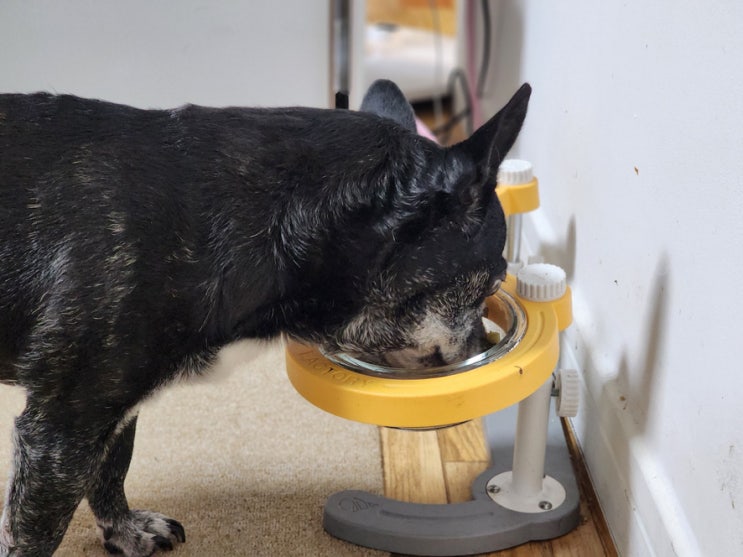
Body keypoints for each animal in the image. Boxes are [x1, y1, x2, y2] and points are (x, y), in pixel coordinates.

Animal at [0, 79, 530, 555]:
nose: (486, 345)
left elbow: (113, 465)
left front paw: (124, 529)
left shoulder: (109, 405)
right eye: (491, 286)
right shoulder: (62, 431)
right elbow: (38, 532)